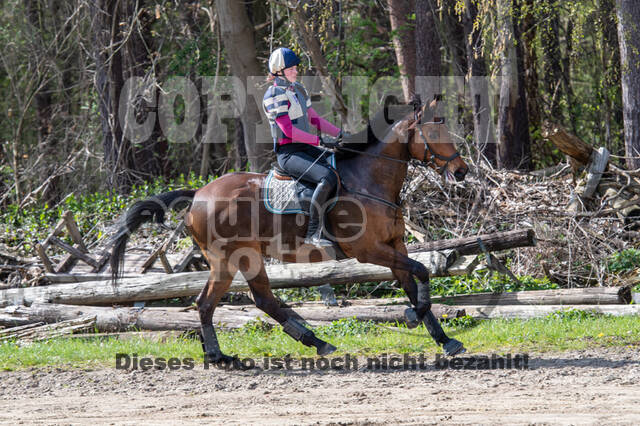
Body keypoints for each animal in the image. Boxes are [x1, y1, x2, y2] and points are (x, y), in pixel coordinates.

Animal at [110, 99, 470, 362]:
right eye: (434, 135)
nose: (461, 171)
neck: (369, 181)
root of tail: (198, 194)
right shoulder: (369, 250)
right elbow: (422, 270)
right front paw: (414, 315)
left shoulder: (395, 245)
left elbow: (413, 279)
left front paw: (444, 339)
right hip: (229, 259)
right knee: (210, 303)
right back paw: (221, 355)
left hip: (246, 258)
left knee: (256, 299)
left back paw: (307, 342)